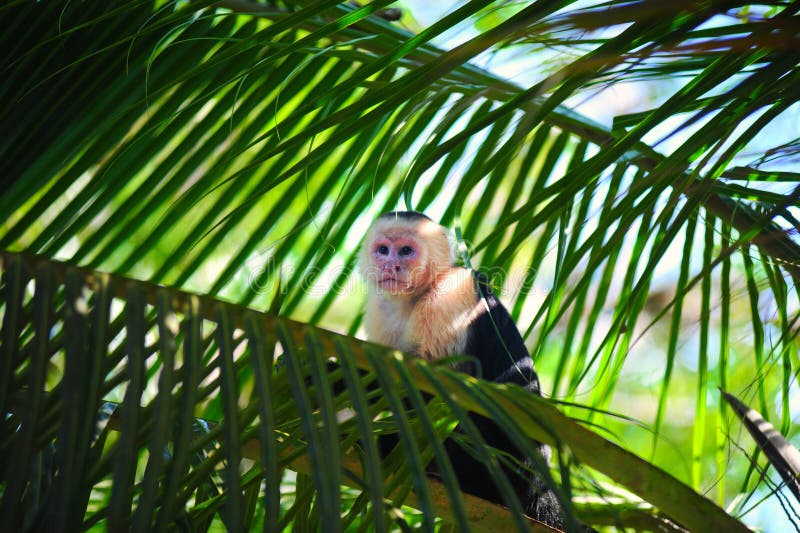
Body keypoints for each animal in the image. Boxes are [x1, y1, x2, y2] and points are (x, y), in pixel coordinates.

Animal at [360, 211, 572, 528]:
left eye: (406, 251)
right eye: (383, 250)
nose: (390, 265)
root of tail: (538, 491)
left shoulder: (452, 294)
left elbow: (433, 390)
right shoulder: (380, 310)